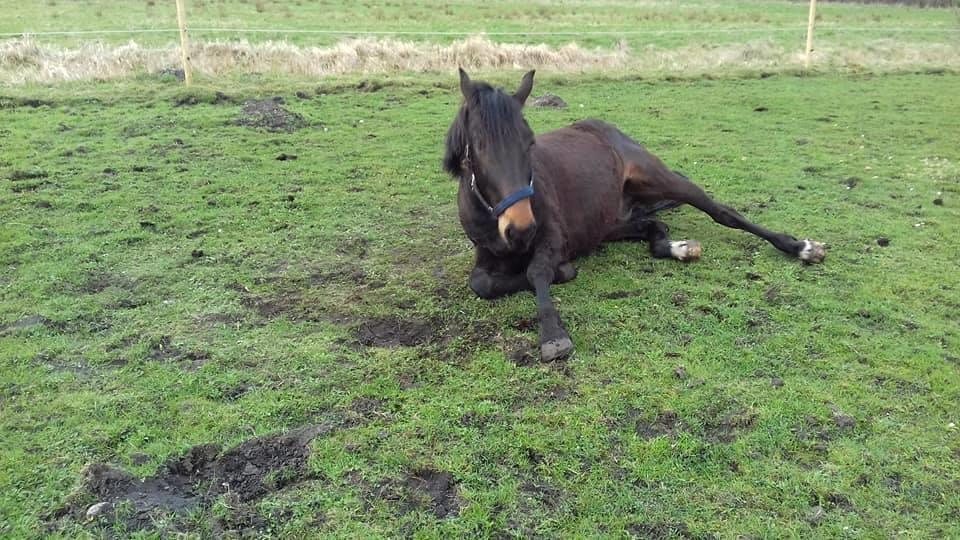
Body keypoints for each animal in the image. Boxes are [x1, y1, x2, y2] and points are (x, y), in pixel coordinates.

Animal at [443, 69, 826, 362]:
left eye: (530, 142)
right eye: (477, 148)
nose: (521, 228)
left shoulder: (553, 237)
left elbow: (538, 270)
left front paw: (553, 334)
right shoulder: (486, 253)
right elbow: (482, 283)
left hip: (661, 179)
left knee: (722, 212)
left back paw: (802, 248)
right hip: (610, 223)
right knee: (654, 227)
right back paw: (679, 248)